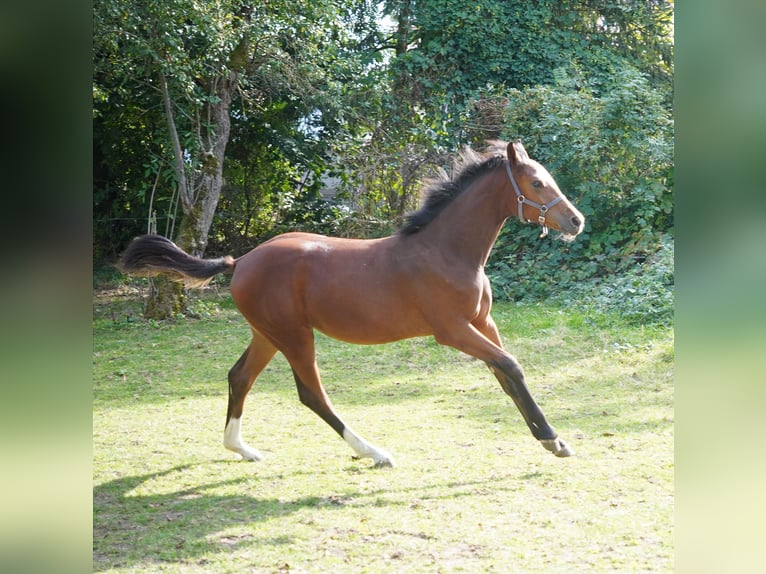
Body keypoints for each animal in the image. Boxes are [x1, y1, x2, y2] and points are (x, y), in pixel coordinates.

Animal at [121, 140, 588, 468]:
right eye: (536, 183)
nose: (576, 221)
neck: (446, 251)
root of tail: (242, 261)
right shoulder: (453, 330)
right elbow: (511, 366)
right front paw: (552, 438)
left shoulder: (483, 323)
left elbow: (504, 372)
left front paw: (553, 439)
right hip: (294, 336)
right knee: (311, 394)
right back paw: (373, 452)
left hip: (268, 334)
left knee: (240, 377)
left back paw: (242, 448)